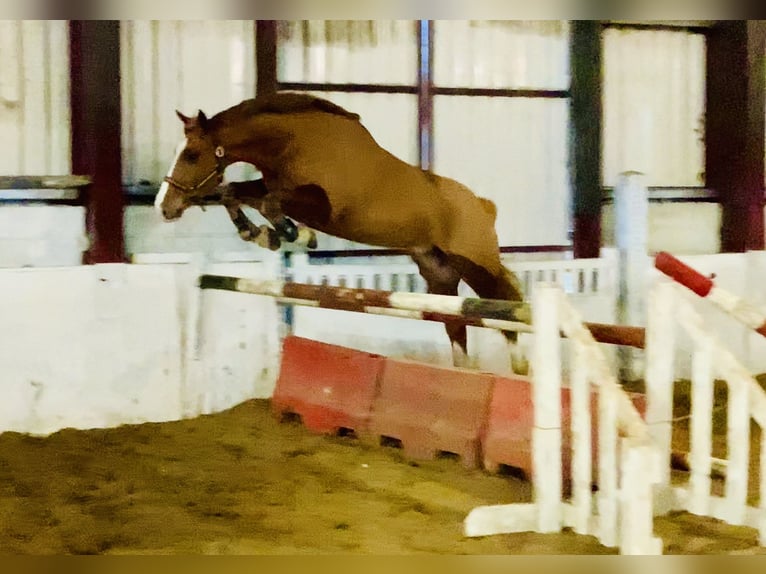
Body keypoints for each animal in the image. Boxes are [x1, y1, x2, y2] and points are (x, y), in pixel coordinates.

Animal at [155, 91, 527, 373]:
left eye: (191, 155)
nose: (164, 207)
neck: (294, 142)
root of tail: (483, 206)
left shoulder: (323, 207)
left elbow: (269, 203)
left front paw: (291, 234)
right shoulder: (271, 186)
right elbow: (233, 192)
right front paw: (259, 233)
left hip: (475, 265)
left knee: (504, 304)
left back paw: (521, 367)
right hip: (439, 274)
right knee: (455, 322)